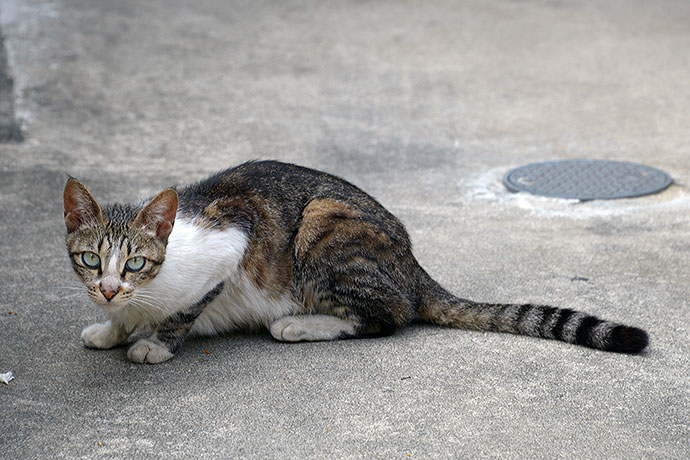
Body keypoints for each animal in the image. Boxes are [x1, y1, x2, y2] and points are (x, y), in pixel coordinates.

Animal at [63, 161, 644, 362]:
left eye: (136, 263)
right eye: (91, 260)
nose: (109, 289)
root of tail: (412, 263)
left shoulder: (230, 243)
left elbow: (186, 308)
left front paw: (154, 344)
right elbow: (123, 319)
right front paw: (113, 329)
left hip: (324, 220)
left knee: (386, 315)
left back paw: (299, 325)